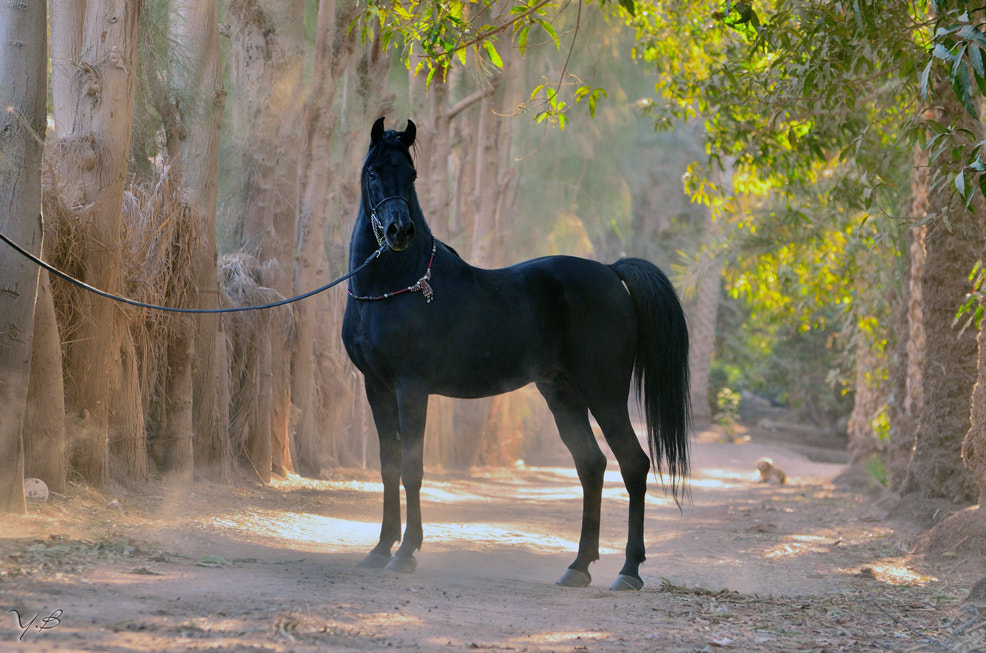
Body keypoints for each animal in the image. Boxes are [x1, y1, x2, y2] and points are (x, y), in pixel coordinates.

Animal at [342, 117, 688, 592]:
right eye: (375, 172)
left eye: (411, 175)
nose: (398, 232)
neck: (397, 286)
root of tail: (611, 271)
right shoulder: (376, 388)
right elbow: (389, 466)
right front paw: (379, 550)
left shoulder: (411, 389)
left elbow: (412, 467)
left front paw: (406, 553)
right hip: (562, 394)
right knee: (591, 465)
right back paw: (578, 567)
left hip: (606, 395)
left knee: (633, 465)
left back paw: (628, 571)